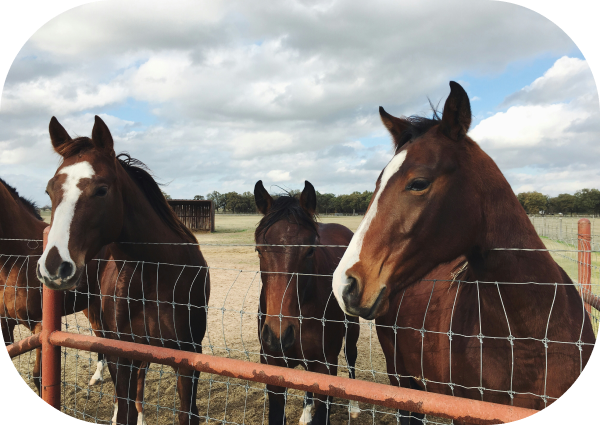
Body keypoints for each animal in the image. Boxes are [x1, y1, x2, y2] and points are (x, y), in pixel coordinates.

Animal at [37, 116, 211, 424]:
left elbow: (186, 413)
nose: (55, 267)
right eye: (49, 190)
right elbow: (125, 408)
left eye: (102, 190)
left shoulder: (188, 359)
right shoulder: (123, 354)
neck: (156, 273)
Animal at [254, 181, 360, 424]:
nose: (279, 335)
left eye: (310, 250)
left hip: (352, 328)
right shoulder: (274, 366)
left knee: (351, 357)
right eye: (259, 250)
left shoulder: (326, 367)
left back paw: (354, 407)